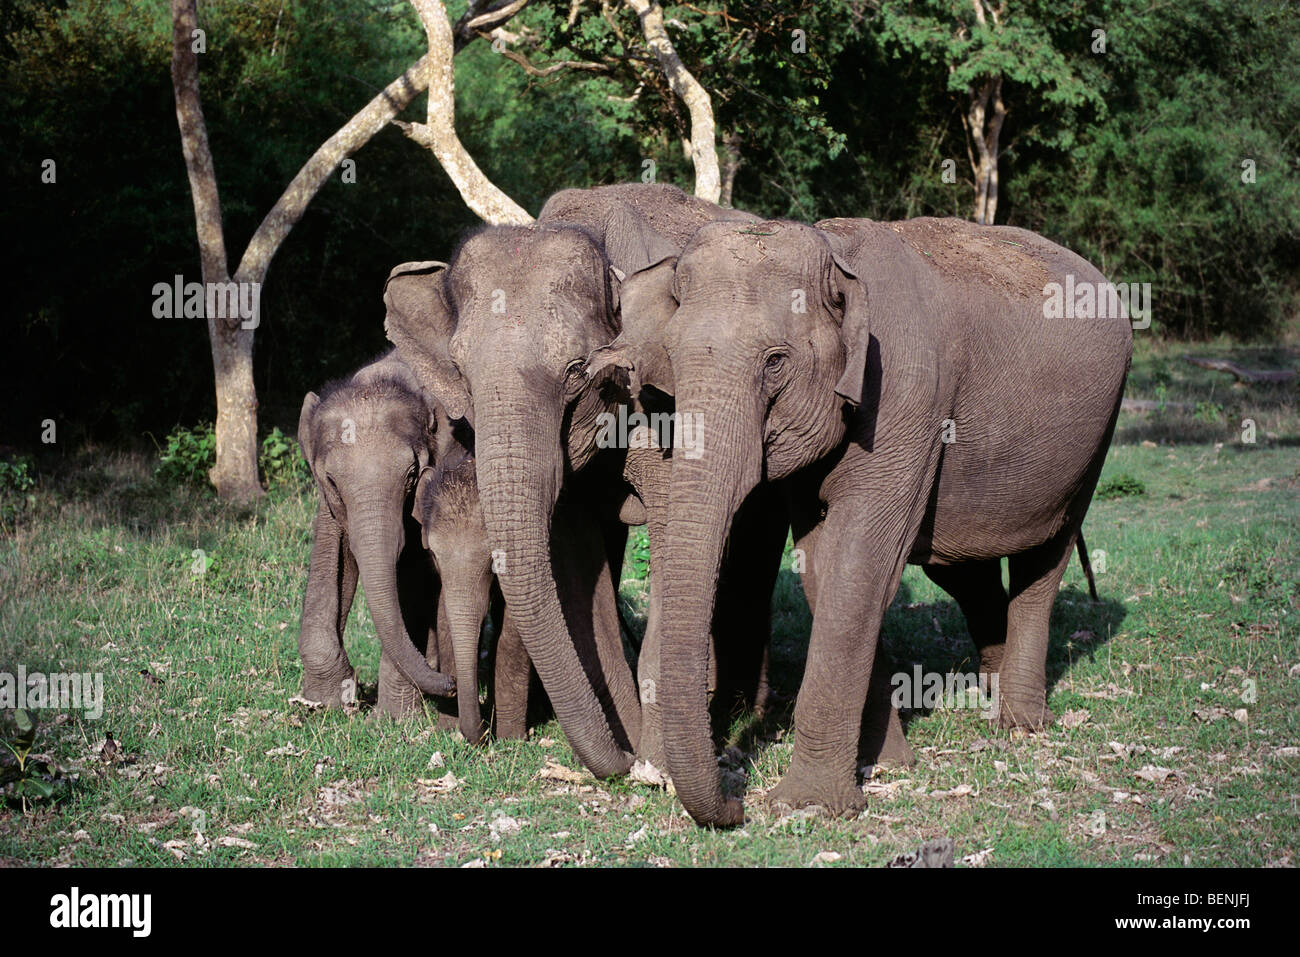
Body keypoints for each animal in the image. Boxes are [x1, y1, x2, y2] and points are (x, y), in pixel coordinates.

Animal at [297, 349, 457, 719]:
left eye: (412, 475)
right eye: (332, 481)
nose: (452, 685)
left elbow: (416, 575)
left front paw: (393, 719)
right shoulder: (328, 504)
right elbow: (333, 558)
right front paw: (324, 703)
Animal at [413, 434, 539, 744]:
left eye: (494, 559)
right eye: (433, 554)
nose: (452, 685)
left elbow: (514, 625)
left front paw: (510, 738)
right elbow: (443, 615)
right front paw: (447, 729)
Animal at [609, 215, 1132, 825]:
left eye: (775, 362)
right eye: (669, 354)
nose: (736, 805)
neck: (834, 252)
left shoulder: (906, 399)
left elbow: (861, 564)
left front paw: (812, 804)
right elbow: (823, 566)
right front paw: (886, 763)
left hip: (1095, 439)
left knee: (1045, 558)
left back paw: (1019, 723)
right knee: (963, 568)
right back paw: (993, 687)